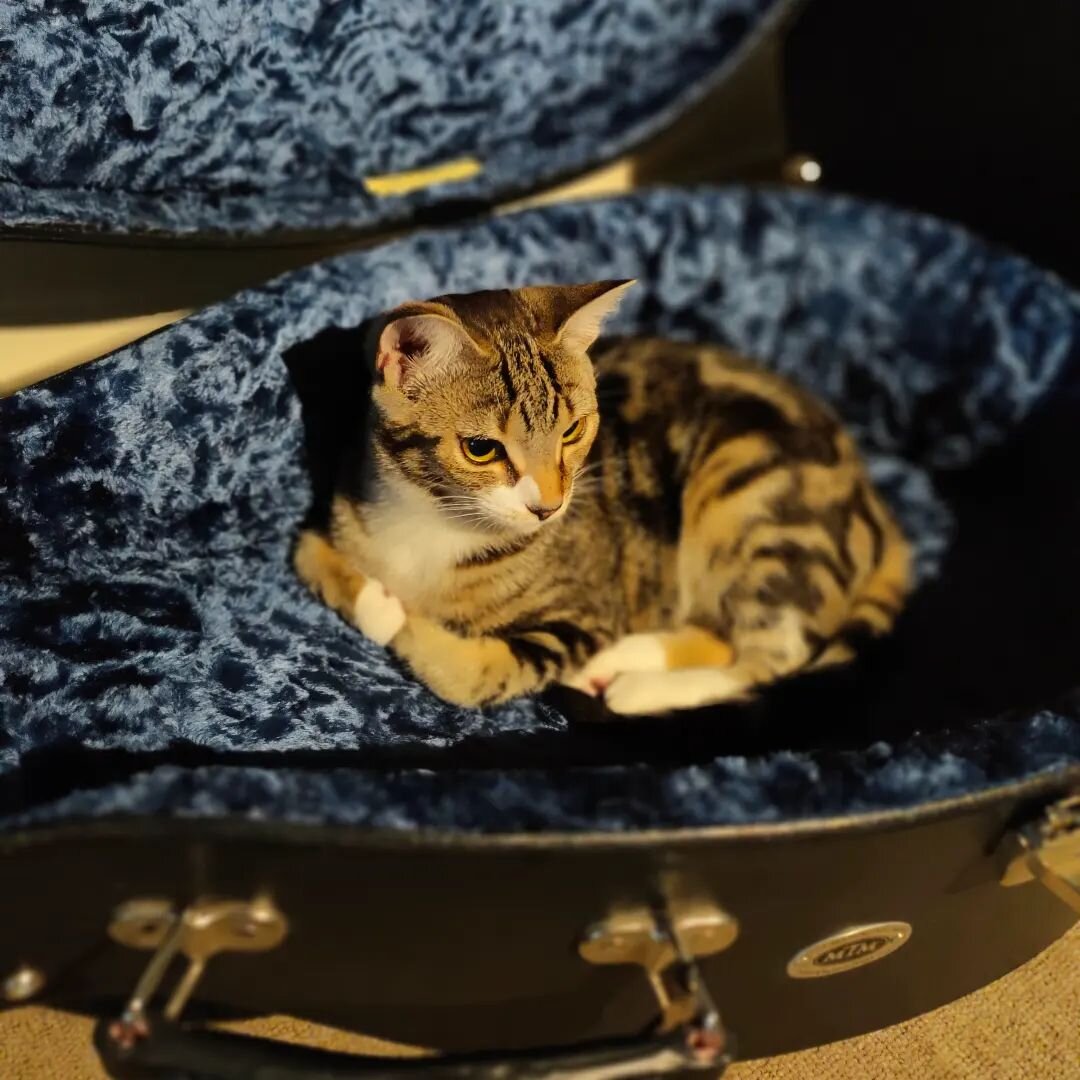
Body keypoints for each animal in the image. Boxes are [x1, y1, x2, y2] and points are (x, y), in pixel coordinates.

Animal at [295, 282, 911, 712]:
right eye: (480, 449)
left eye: (572, 431)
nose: (548, 506)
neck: (435, 519)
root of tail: (875, 506)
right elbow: (307, 553)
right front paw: (372, 598)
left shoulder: (584, 611)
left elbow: (468, 675)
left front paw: (398, 618)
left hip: (750, 492)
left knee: (771, 657)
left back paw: (631, 682)